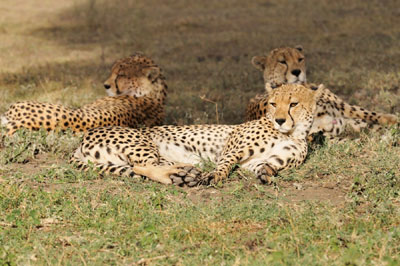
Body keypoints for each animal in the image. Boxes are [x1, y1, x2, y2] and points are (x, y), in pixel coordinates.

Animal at [70, 84, 324, 186]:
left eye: (293, 104)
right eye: (273, 104)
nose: (279, 119)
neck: (291, 132)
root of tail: (82, 140)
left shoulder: (260, 161)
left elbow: (267, 166)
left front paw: (266, 175)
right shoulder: (232, 150)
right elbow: (223, 165)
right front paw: (214, 177)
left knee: (143, 167)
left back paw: (184, 174)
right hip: (141, 142)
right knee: (142, 166)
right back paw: (182, 176)